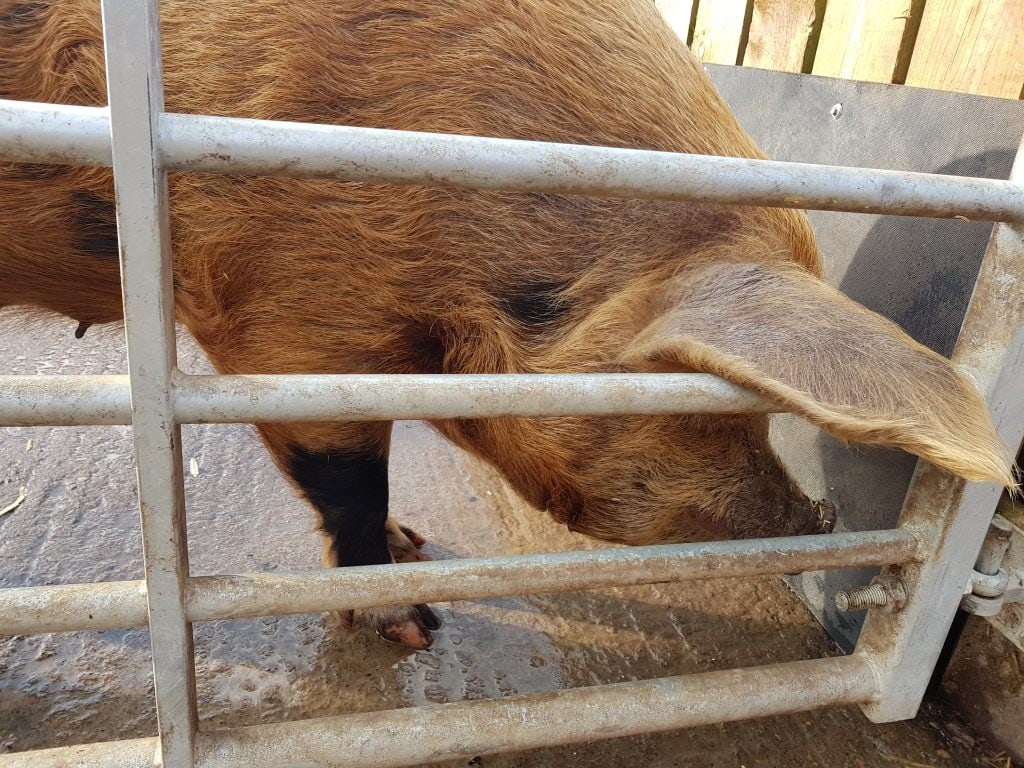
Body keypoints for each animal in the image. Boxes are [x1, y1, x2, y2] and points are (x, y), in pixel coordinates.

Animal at [0, 0, 1007, 651]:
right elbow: (347, 477)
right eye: (711, 403)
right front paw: (411, 624)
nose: (817, 516)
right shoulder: (286, 317)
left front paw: (414, 546)